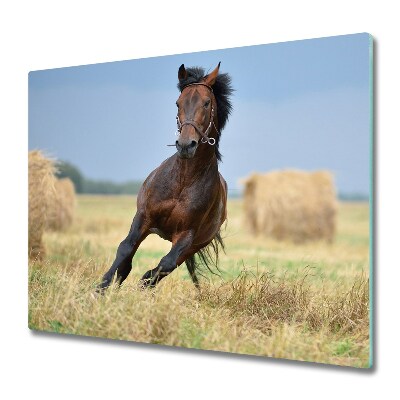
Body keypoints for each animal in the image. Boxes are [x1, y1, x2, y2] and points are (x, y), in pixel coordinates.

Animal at [98, 62, 233, 290]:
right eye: (178, 103)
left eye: (206, 103)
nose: (186, 145)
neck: (183, 180)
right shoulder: (143, 217)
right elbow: (125, 249)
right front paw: (101, 288)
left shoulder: (186, 234)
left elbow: (164, 264)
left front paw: (140, 285)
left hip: (195, 245)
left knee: (167, 266)